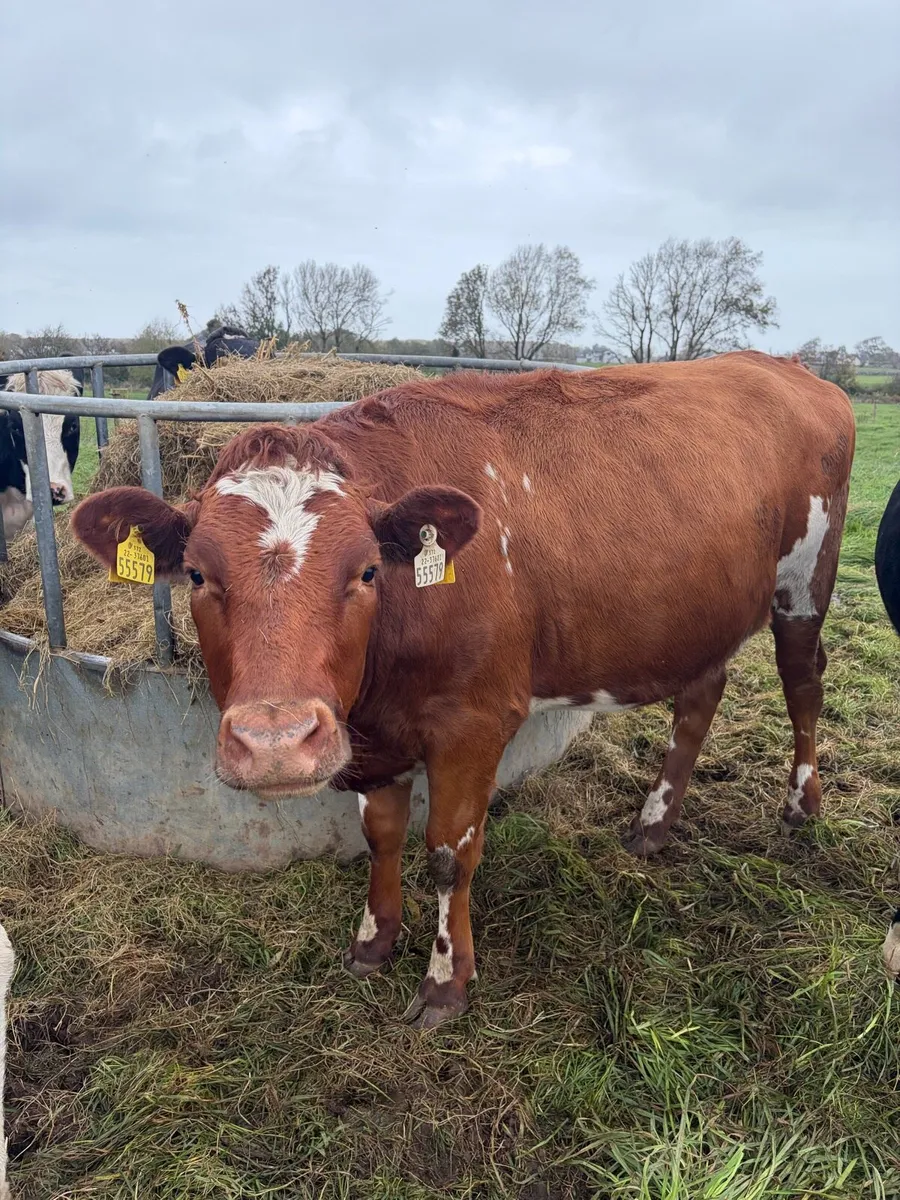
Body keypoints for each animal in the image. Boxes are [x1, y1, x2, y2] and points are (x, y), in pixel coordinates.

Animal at [72, 351, 856, 1029]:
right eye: (198, 575)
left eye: (365, 571)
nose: (275, 743)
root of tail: (782, 366)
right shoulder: (371, 738)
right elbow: (381, 836)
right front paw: (373, 939)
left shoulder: (475, 723)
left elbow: (450, 853)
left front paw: (446, 980)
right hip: (699, 617)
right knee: (699, 699)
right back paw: (654, 823)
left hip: (804, 584)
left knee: (803, 684)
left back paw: (801, 804)